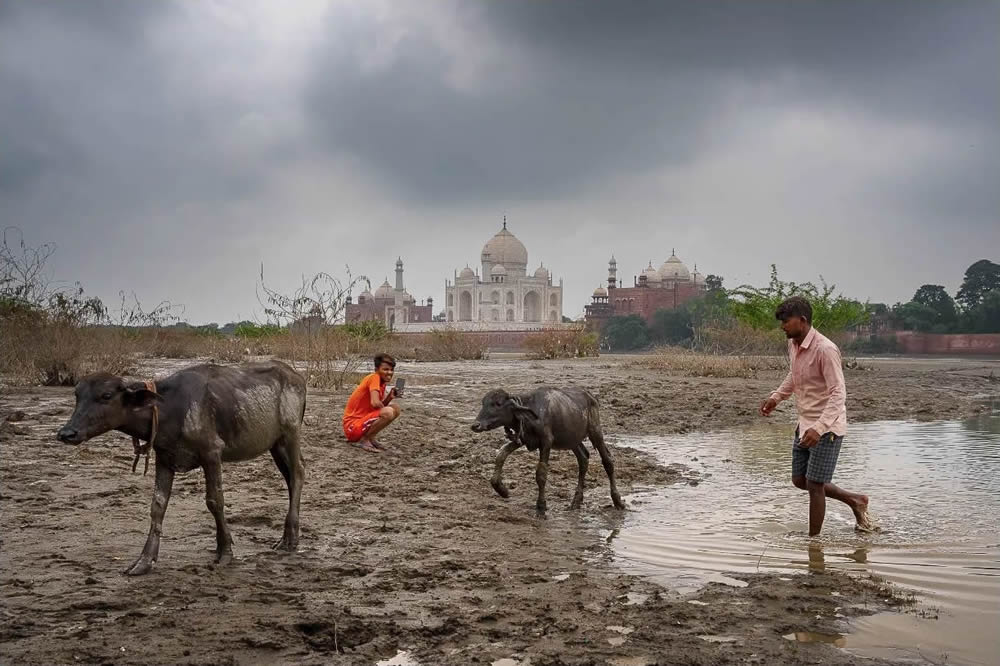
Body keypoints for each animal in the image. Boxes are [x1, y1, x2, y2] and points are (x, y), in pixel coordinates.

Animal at [57, 360, 306, 572]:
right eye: (77, 395)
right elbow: (158, 505)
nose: (67, 433)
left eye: (106, 395)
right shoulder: (164, 459)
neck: (170, 408)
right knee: (289, 478)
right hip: (275, 444)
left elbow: (215, 501)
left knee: (297, 474)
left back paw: (290, 538)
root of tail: (296, 376)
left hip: (290, 435)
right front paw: (144, 561)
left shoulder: (212, 454)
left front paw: (225, 551)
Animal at [470, 384, 624, 520]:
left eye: (498, 403)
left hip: (595, 432)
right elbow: (501, 455)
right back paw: (576, 501)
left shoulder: (546, 442)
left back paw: (618, 501)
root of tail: (590, 396)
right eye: (483, 403)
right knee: (583, 459)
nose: (475, 425)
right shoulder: (523, 439)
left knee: (608, 461)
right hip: (572, 440)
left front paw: (541, 508)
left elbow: (541, 474)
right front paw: (502, 490)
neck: (533, 411)